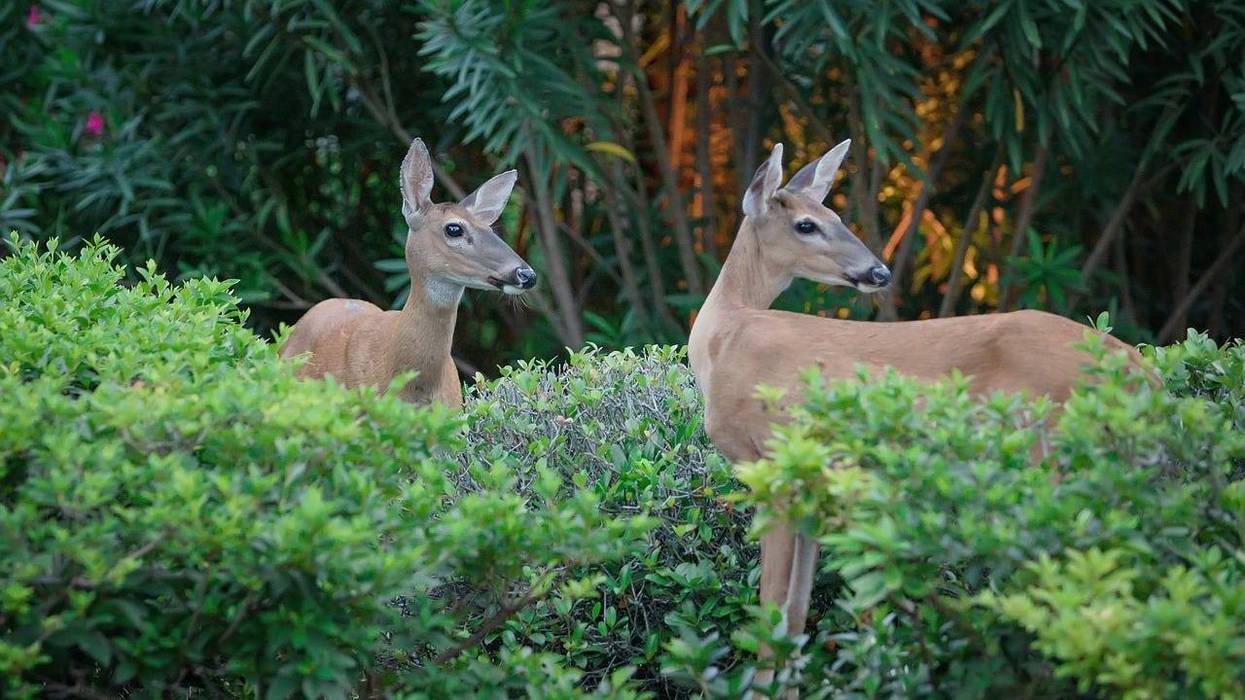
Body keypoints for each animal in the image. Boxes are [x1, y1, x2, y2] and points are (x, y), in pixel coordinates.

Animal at [687, 140, 1145, 696]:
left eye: (834, 216)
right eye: (807, 223)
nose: (879, 272)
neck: (723, 339)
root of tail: (1146, 372)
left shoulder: (772, 463)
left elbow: (771, 615)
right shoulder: (813, 485)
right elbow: (795, 615)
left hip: (1051, 460)